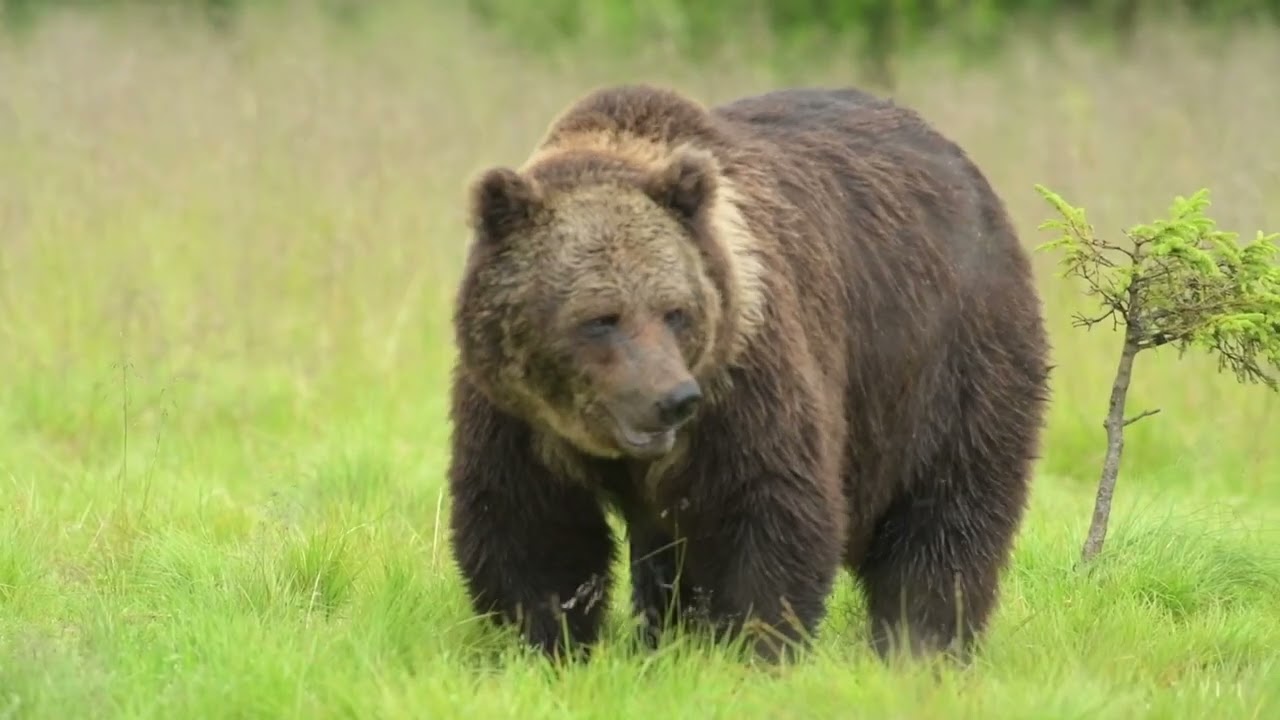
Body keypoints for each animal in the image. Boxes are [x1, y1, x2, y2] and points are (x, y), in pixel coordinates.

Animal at [446, 83, 1051, 665]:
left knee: (946, 515)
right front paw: (547, 644)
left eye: (675, 311)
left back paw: (923, 645)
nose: (671, 398)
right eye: (601, 317)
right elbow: (533, 532)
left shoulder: (743, 379)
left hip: (947, 363)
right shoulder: (518, 418)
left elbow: (768, 511)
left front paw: (751, 649)